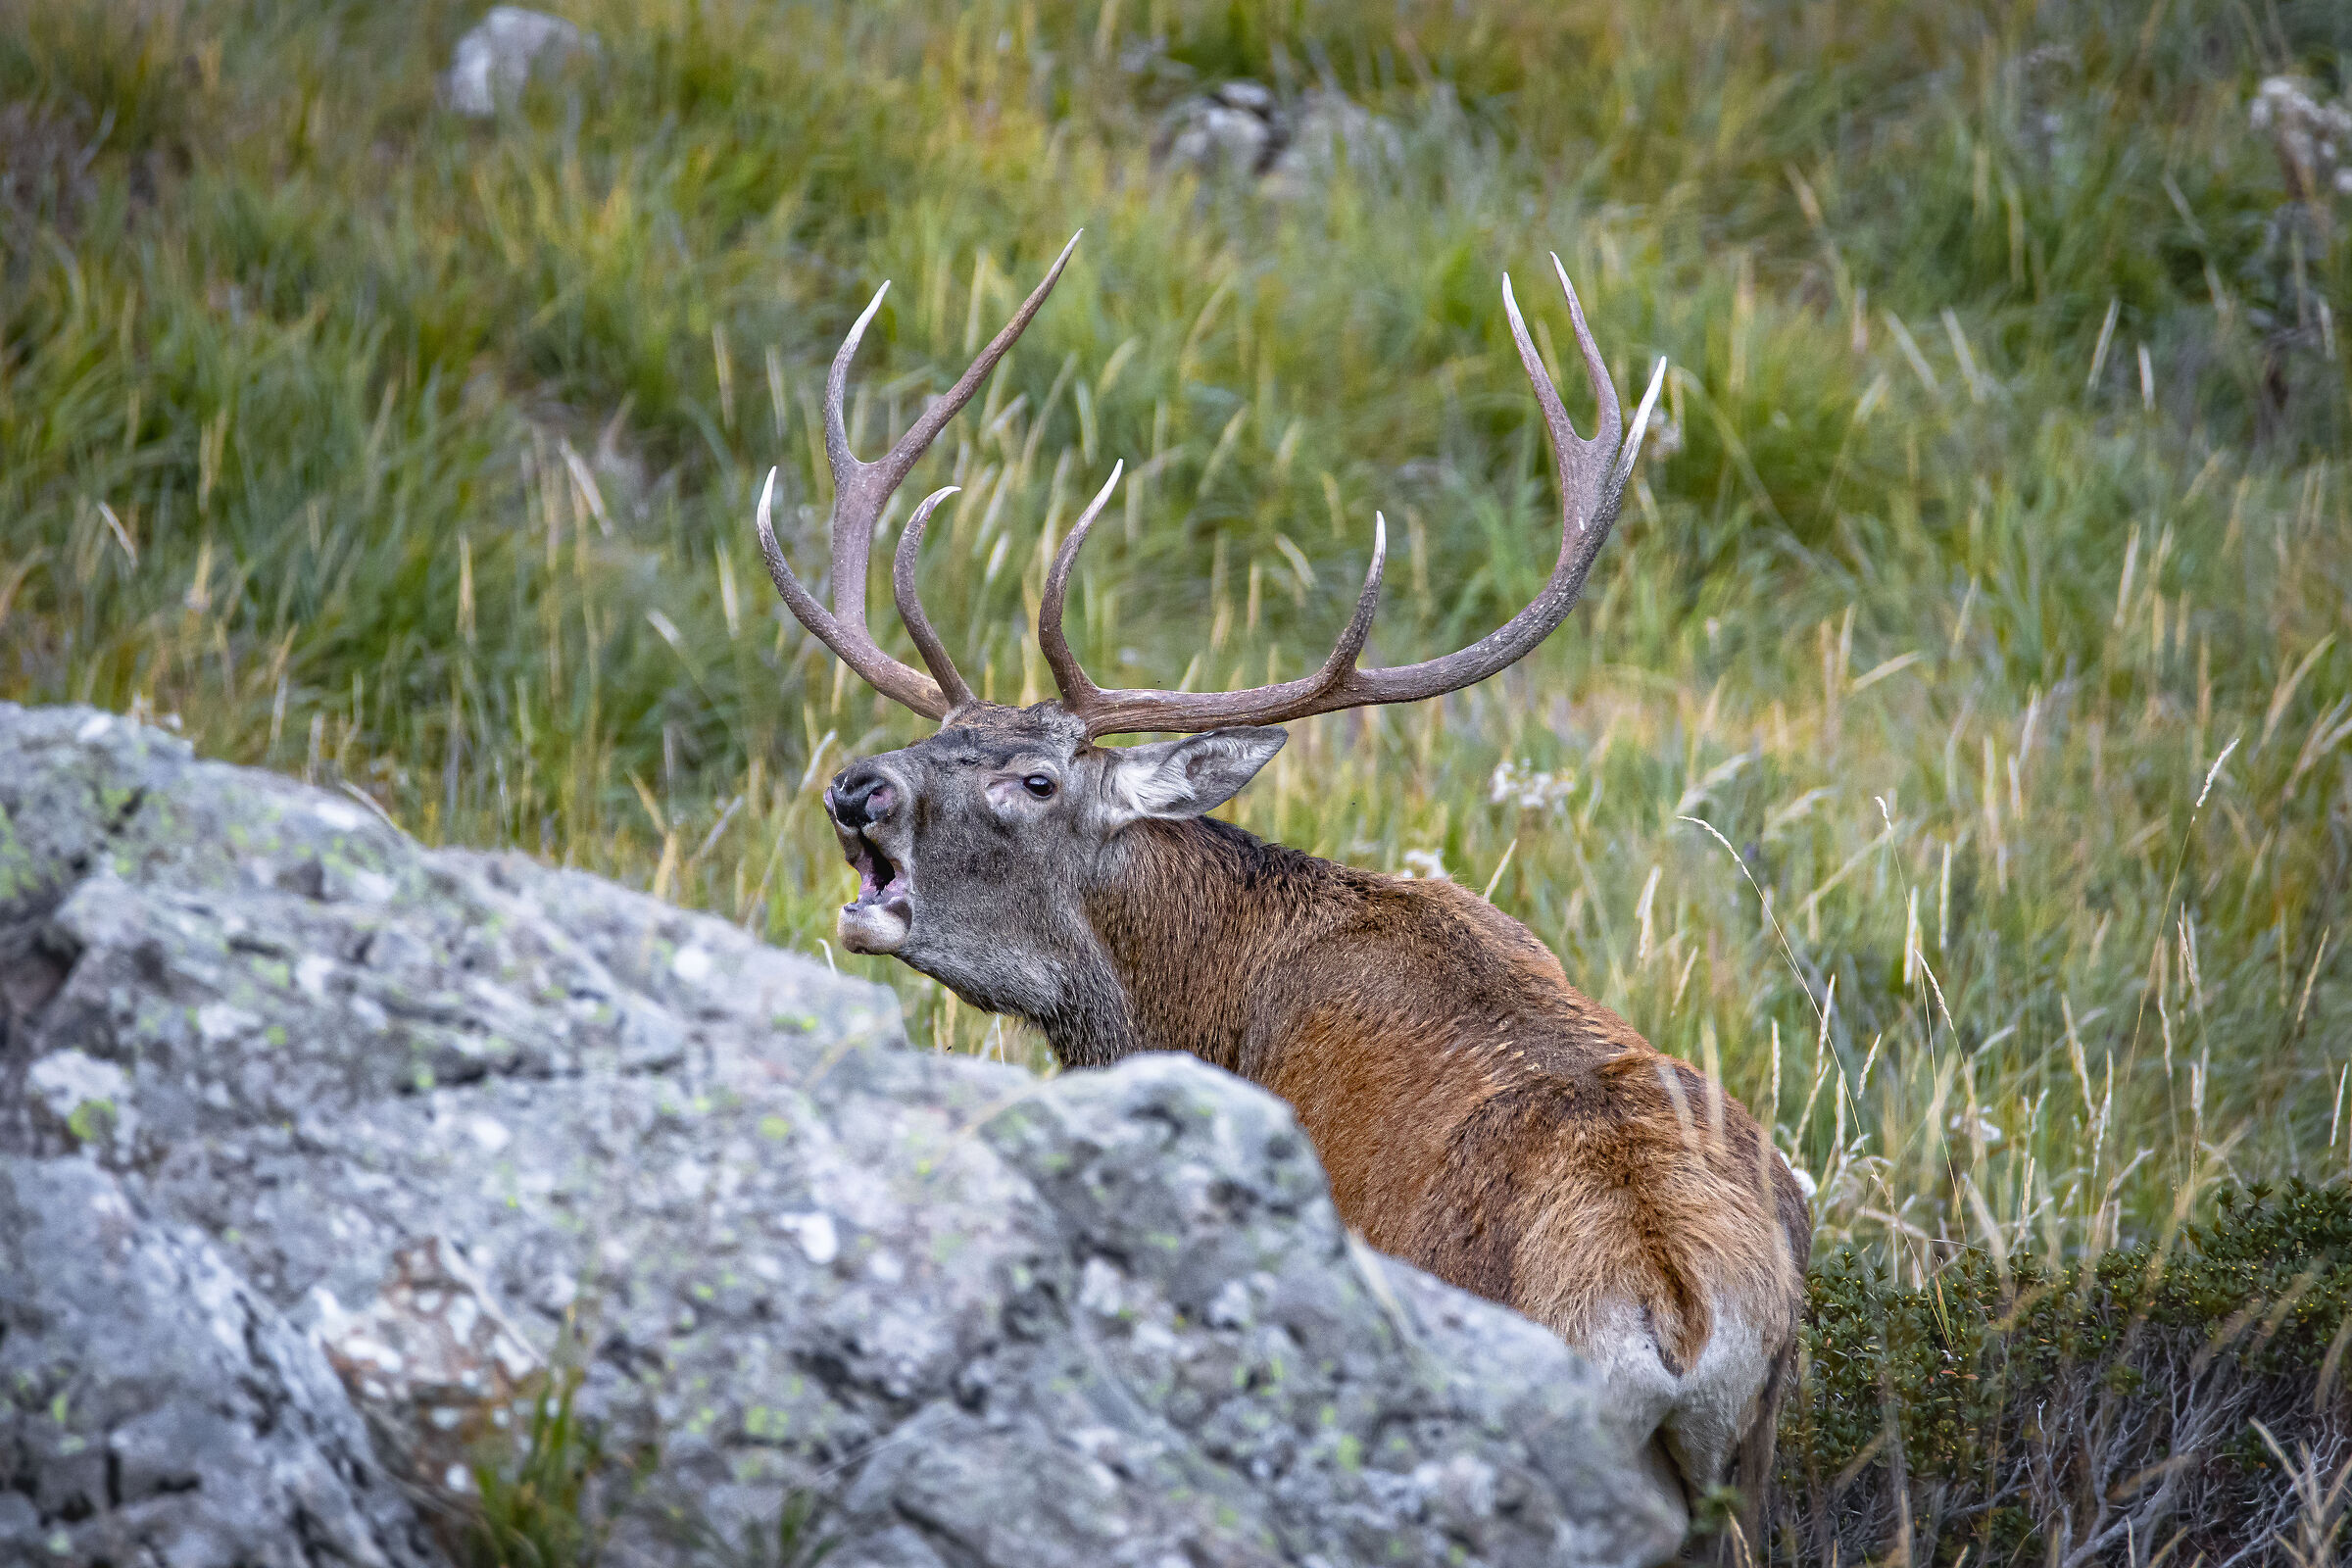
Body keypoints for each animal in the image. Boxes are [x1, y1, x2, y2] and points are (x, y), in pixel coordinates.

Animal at [753, 234, 1810, 1558]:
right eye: (941, 733)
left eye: (1034, 779)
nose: (858, 788)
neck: (1189, 1005)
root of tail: (1672, 1300)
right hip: (1753, 1453)